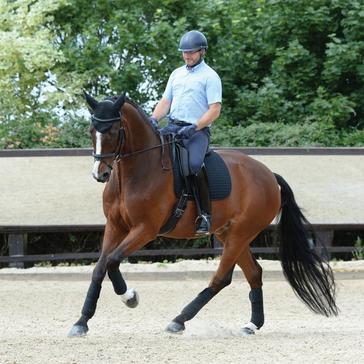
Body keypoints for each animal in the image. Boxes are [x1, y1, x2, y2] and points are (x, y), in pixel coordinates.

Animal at [67, 92, 338, 336]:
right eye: (92, 130)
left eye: (113, 131)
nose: (100, 174)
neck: (136, 172)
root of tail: (270, 175)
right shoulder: (115, 225)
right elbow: (100, 268)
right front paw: (82, 322)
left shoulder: (145, 229)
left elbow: (112, 261)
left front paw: (130, 297)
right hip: (232, 234)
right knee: (253, 273)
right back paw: (252, 325)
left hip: (240, 234)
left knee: (221, 278)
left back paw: (179, 320)